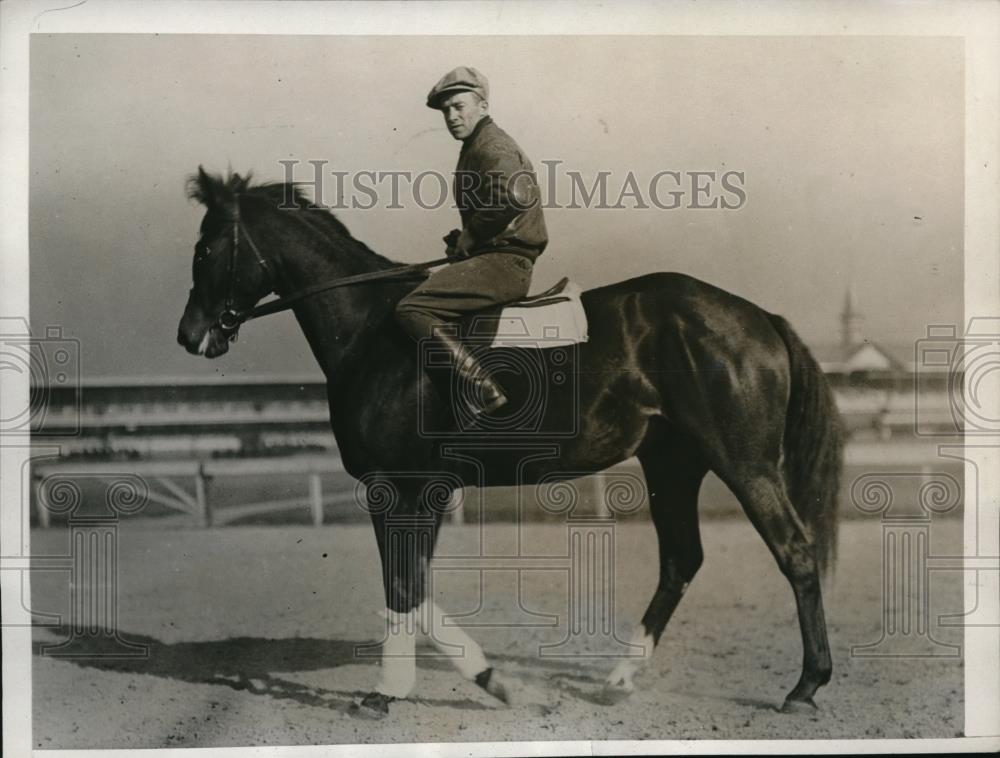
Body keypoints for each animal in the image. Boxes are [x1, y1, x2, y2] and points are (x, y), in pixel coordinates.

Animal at [176, 166, 840, 720]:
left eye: (205, 247)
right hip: (673, 464)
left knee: (795, 553)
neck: (371, 331)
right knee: (682, 560)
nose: (189, 334)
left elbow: (404, 586)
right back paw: (620, 677)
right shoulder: (423, 492)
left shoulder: (400, 488)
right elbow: (412, 586)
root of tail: (758, 316)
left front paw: (422, 688)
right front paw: (471, 681)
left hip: (745, 464)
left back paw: (805, 685)